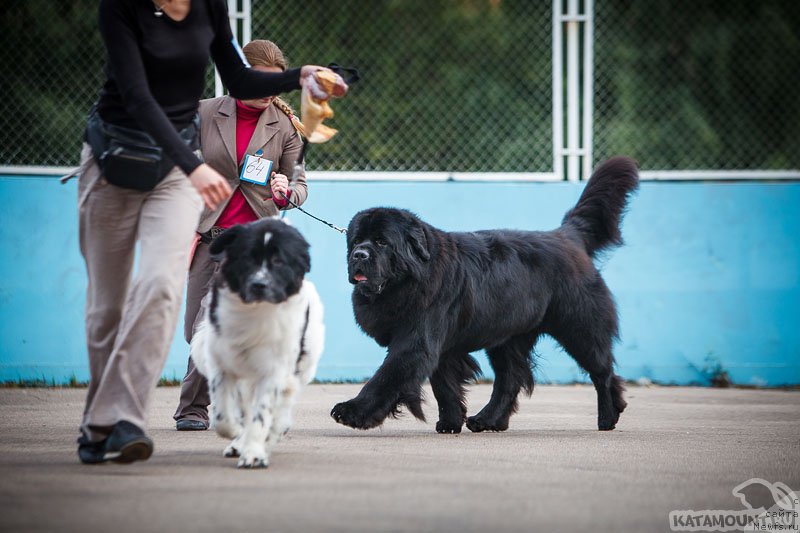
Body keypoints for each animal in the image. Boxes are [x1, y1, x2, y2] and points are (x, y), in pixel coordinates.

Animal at [189, 218, 324, 468]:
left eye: (279, 261)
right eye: (248, 258)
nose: (259, 284)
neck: (256, 310)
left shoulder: (275, 371)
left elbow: (262, 414)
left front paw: (253, 453)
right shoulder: (221, 364)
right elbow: (223, 417)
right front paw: (237, 435)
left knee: (282, 407)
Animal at [330, 156, 636, 430]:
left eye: (382, 242)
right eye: (356, 241)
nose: (359, 255)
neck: (408, 280)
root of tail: (567, 236)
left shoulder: (416, 340)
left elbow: (386, 377)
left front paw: (352, 411)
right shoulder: (442, 345)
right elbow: (443, 384)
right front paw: (451, 422)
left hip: (579, 326)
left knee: (602, 370)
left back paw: (608, 416)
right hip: (509, 335)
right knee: (509, 378)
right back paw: (489, 420)